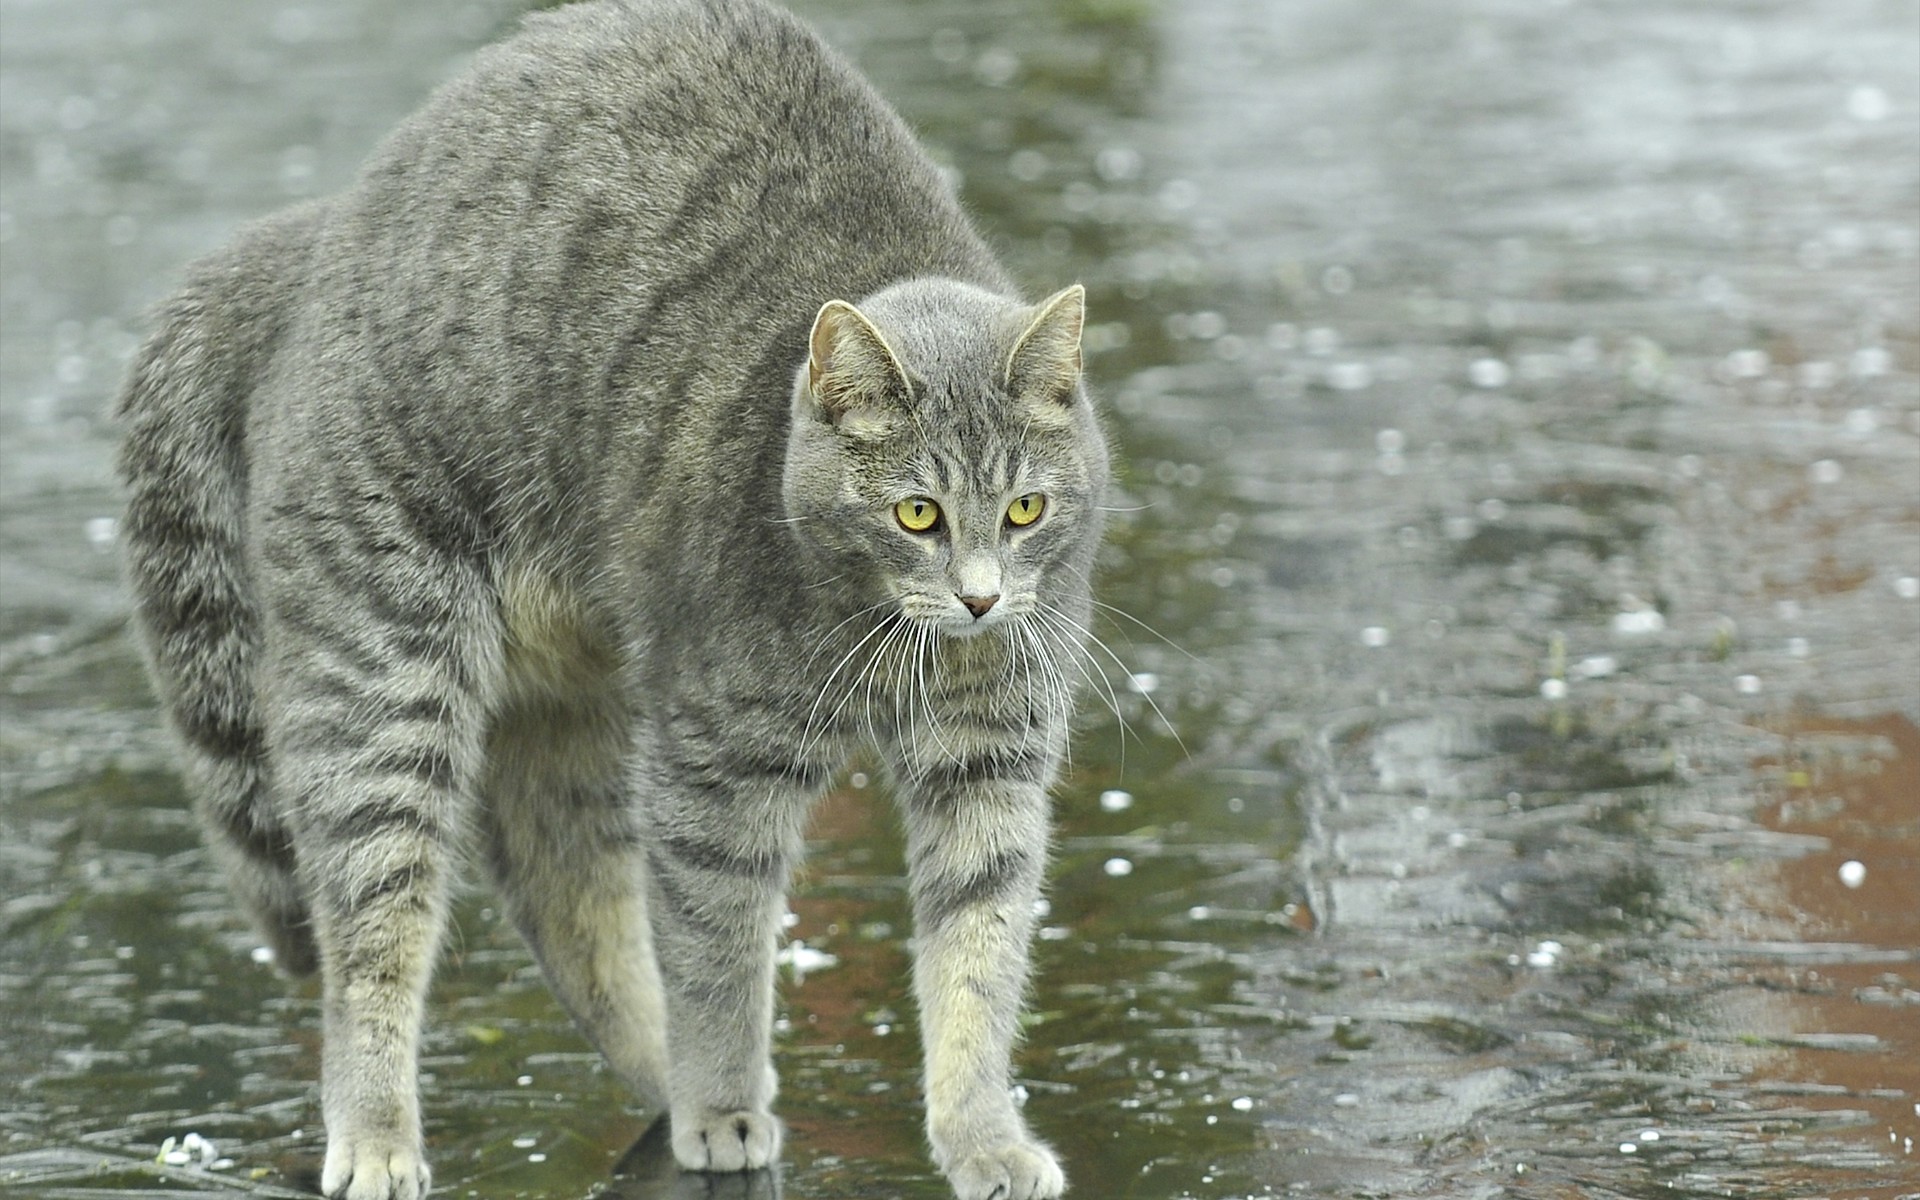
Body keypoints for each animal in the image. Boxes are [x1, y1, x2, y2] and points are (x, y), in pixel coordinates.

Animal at [116, 2, 1113, 1198]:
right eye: (917, 514)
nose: (978, 602)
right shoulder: (717, 763)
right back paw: (388, 1135)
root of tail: (321, 231)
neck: (883, 632)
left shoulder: (990, 758)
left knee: (564, 895)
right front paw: (723, 1102)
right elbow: (719, 949)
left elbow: (979, 956)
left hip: (569, 703)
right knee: (371, 936)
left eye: (1024, 510)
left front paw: (982, 1137)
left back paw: (657, 1070)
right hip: (386, 685)